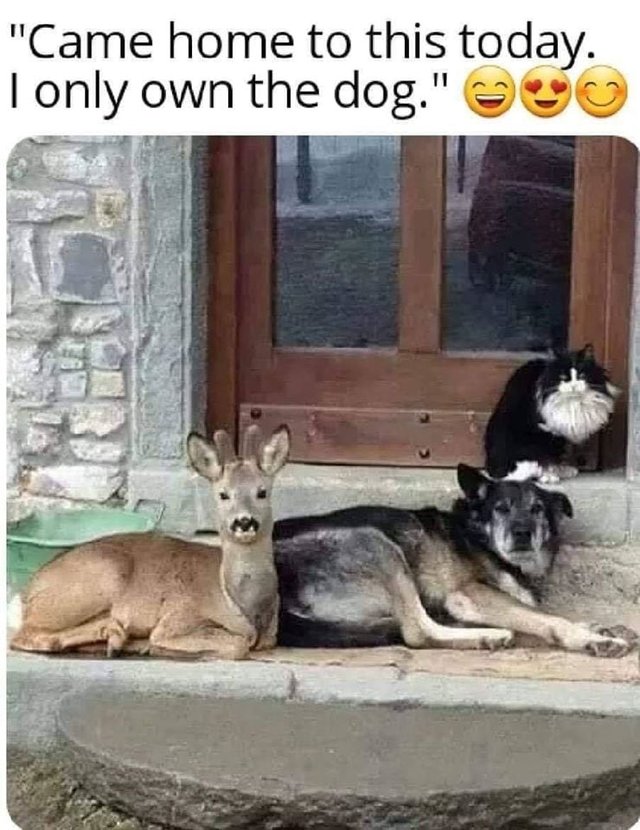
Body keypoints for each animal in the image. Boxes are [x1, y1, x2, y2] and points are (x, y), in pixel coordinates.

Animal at [274, 464, 636, 657]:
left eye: (537, 509)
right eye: (500, 508)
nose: (521, 533)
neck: (478, 536)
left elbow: (538, 615)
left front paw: (594, 626)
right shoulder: (471, 593)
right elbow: (548, 619)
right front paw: (593, 638)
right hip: (376, 543)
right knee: (417, 632)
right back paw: (486, 636)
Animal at [485, 344, 619, 483]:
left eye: (582, 375)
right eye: (563, 378)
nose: (574, 386)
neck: (573, 404)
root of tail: (493, 469)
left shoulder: (562, 434)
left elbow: (556, 458)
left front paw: (560, 471)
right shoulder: (546, 431)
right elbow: (547, 458)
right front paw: (549, 476)